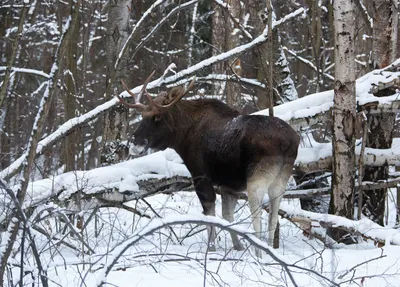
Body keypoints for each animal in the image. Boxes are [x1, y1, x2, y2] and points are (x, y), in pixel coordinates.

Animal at [117, 72, 298, 256]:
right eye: (142, 116)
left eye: (158, 116)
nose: (135, 144)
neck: (182, 137)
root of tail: (287, 143)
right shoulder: (229, 185)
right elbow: (227, 216)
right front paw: (238, 246)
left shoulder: (200, 175)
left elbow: (209, 214)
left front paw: (211, 248)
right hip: (280, 180)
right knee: (273, 218)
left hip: (257, 180)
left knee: (257, 219)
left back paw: (259, 255)